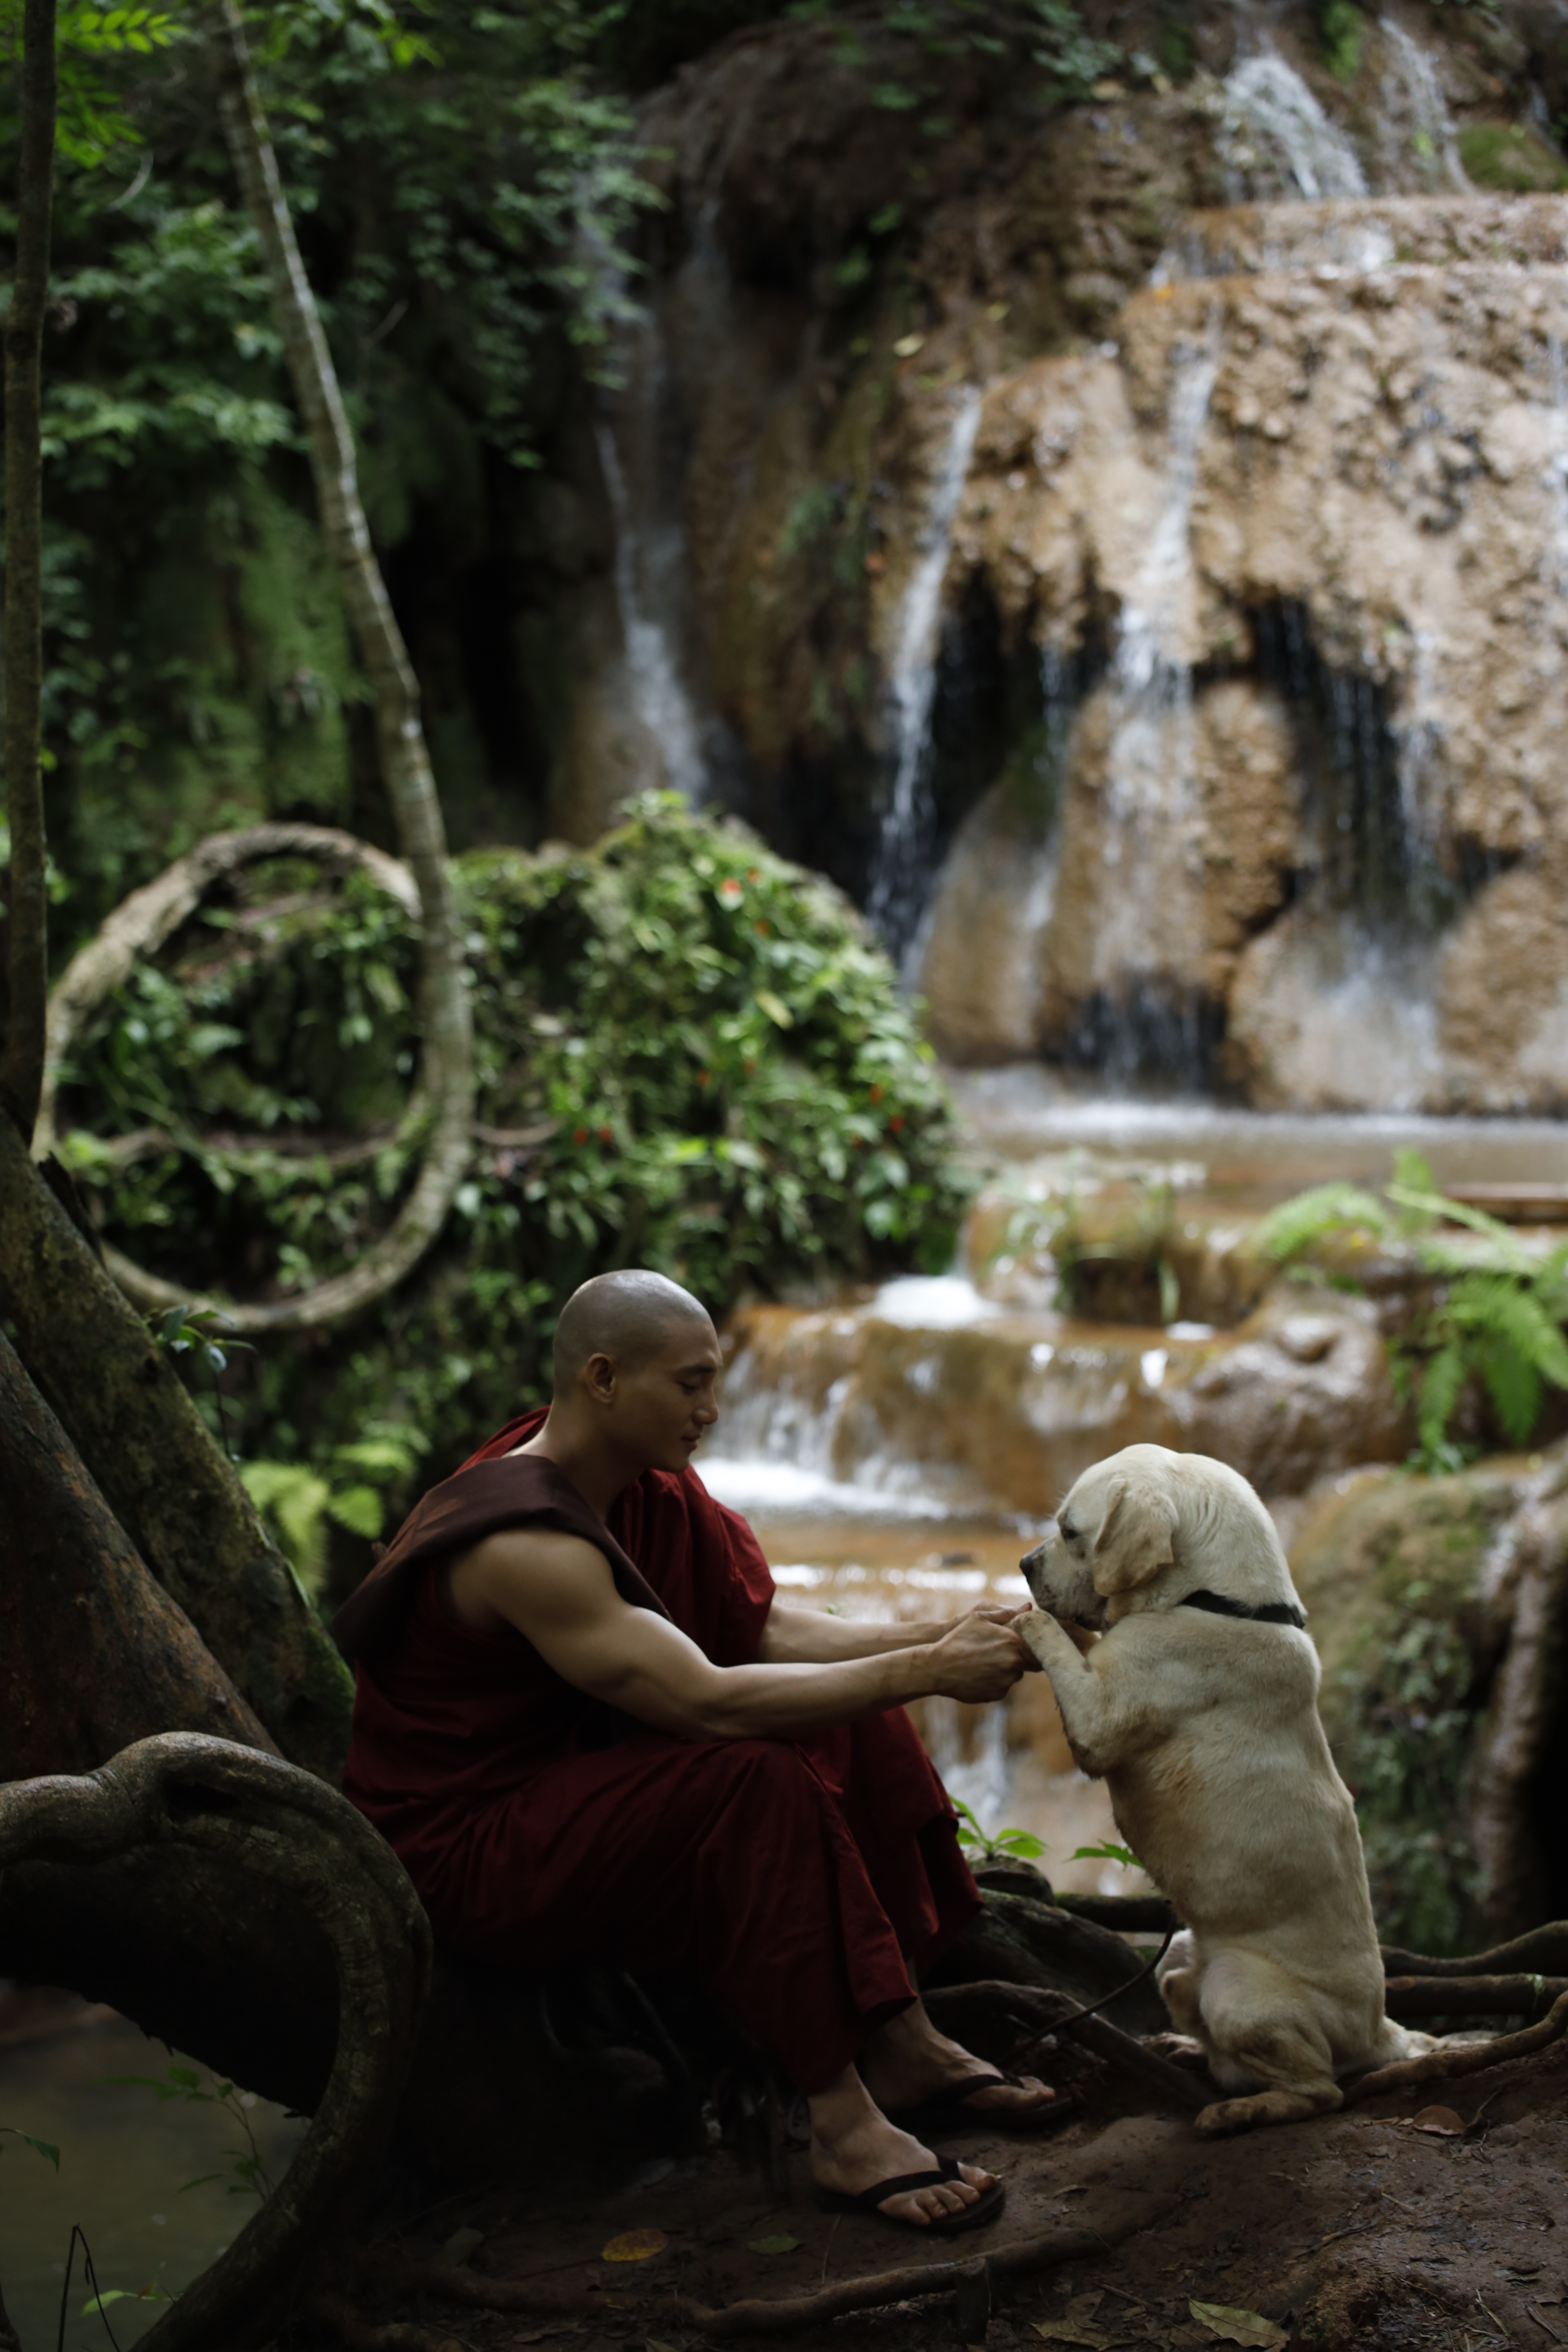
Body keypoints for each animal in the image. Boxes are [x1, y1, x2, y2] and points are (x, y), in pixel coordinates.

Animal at [1020, 1439, 1420, 2145]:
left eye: (1071, 1533)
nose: (1022, 1566)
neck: (1215, 1597)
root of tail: (1379, 2034)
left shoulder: (1098, 1720)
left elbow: (1063, 1649)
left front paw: (1030, 1622)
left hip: (1241, 1997)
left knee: (1319, 2091)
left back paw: (1237, 2112)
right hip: (1180, 1950)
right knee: (1198, 2013)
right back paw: (1186, 2048)